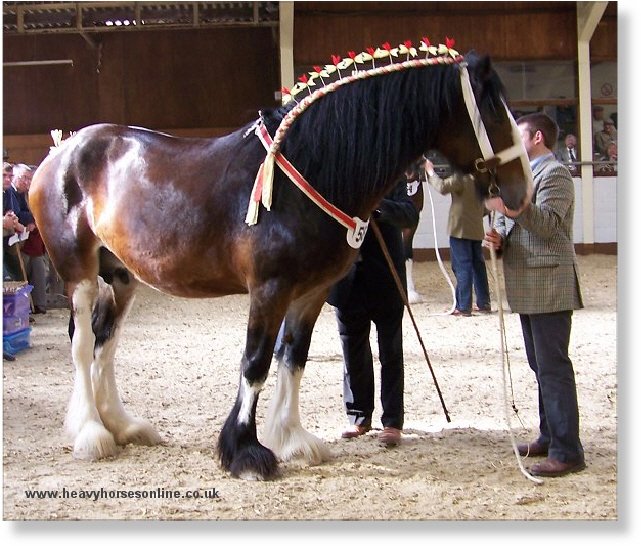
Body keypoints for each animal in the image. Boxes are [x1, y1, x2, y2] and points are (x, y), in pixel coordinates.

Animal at [28, 49, 528, 478]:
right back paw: (92, 433)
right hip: (78, 276)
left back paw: (122, 426)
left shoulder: (311, 293)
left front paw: (292, 439)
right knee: (82, 344)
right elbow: (256, 363)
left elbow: (293, 359)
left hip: (122, 278)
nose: (519, 190)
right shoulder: (269, 289)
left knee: (105, 343)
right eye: (493, 110)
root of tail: (61, 151)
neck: (309, 172)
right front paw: (245, 453)